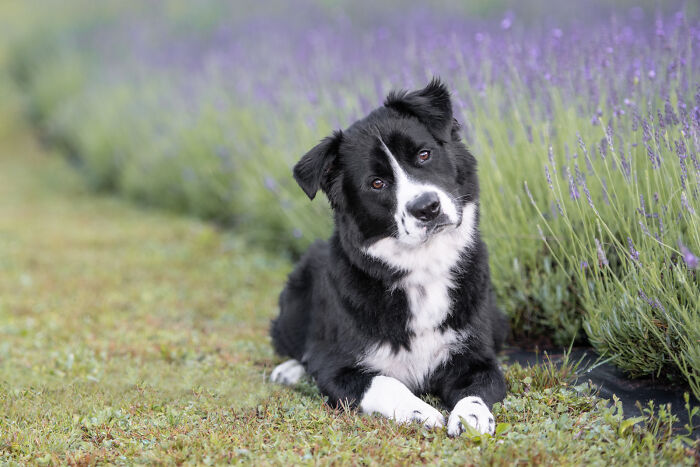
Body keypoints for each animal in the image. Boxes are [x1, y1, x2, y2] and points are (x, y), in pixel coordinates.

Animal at [266, 78, 504, 436]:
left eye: (424, 154)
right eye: (377, 183)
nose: (427, 208)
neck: (423, 268)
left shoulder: (478, 357)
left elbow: (478, 388)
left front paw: (470, 416)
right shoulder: (337, 368)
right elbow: (383, 382)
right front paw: (421, 412)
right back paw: (289, 370)